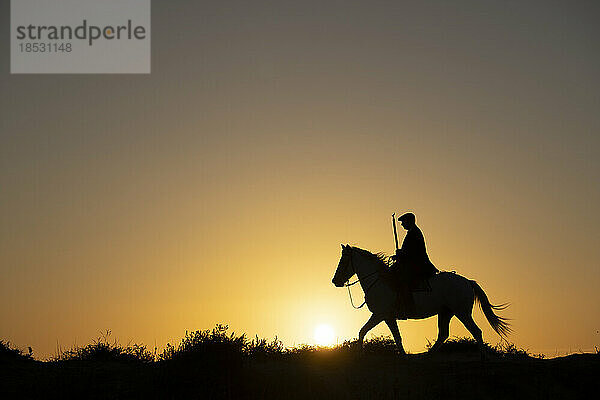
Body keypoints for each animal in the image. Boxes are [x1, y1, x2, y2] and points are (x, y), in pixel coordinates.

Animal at [330, 244, 508, 356]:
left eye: (343, 261)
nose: (335, 281)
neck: (379, 281)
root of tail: (467, 281)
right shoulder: (388, 317)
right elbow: (397, 337)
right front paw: (403, 356)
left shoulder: (379, 315)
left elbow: (362, 331)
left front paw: (360, 354)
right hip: (446, 313)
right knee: (443, 334)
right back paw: (426, 356)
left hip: (462, 312)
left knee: (476, 331)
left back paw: (484, 358)